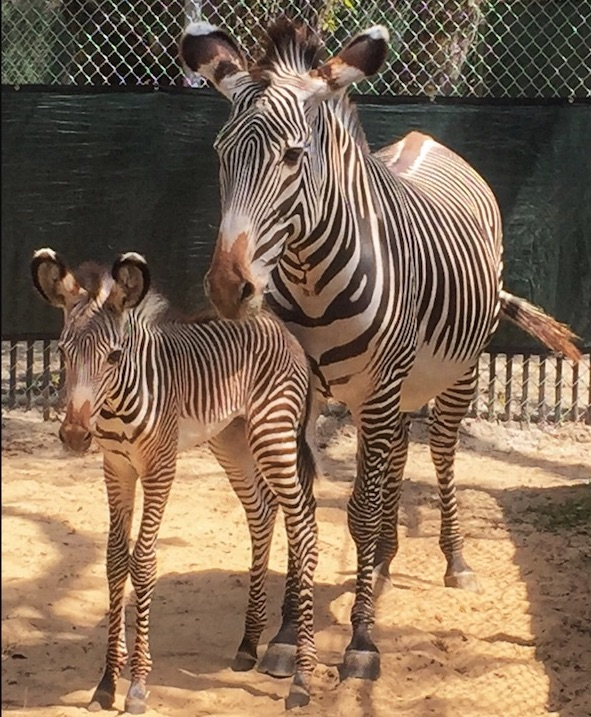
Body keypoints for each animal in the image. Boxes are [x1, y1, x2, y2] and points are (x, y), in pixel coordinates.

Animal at [30, 247, 319, 712]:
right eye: (63, 350)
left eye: (113, 357)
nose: (74, 436)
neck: (117, 404)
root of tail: (273, 322)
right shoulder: (116, 467)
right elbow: (115, 561)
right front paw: (106, 682)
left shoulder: (160, 466)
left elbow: (144, 562)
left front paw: (137, 685)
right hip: (230, 440)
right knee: (261, 513)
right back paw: (248, 644)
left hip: (272, 434)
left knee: (304, 524)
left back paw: (302, 678)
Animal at [179, 17, 581, 682]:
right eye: (219, 154)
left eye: (293, 157)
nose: (227, 288)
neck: (311, 278)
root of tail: (425, 139)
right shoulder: (306, 393)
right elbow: (303, 505)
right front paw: (286, 633)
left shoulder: (381, 385)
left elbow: (359, 512)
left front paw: (361, 641)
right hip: (397, 389)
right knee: (395, 453)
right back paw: (388, 558)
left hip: (450, 375)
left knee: (438, 452)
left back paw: (453, 560)